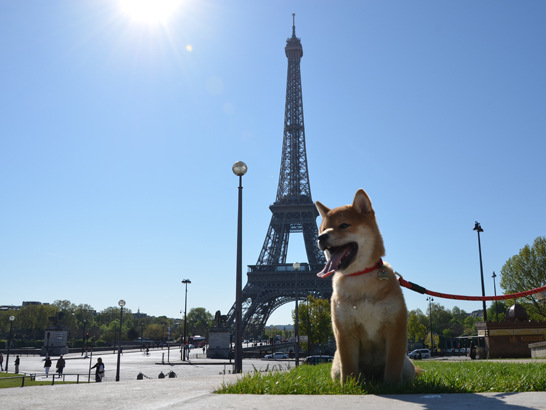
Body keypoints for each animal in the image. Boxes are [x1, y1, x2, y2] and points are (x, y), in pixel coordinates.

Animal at [312, 190, 414, 388]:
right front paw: (349, 386)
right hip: (336, 366)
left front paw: (392, 386)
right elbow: (349, 366)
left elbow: (393, 364)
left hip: (408, 365)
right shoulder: (345, 330)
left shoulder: (395, 328)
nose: (321, 238)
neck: (360, 277)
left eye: (344, 225)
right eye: (323, 229)